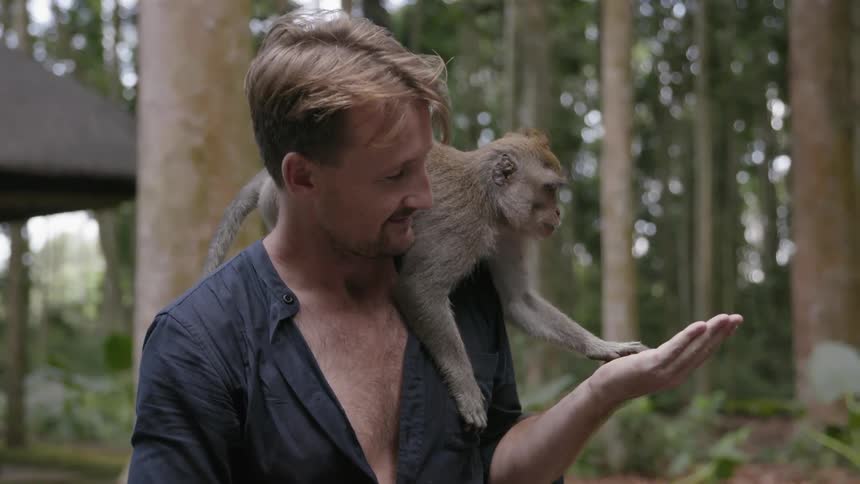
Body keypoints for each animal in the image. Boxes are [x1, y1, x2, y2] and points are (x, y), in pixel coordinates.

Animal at [204, 128, 648, 431]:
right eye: (550, 190)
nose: (558, 215)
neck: (489, 201)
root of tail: (268, 180)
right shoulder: (465, 228)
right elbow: (418, 288)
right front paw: (467, 390)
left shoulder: (508, 232)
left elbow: (519, 302)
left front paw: (603, 346)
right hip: (284, 213)